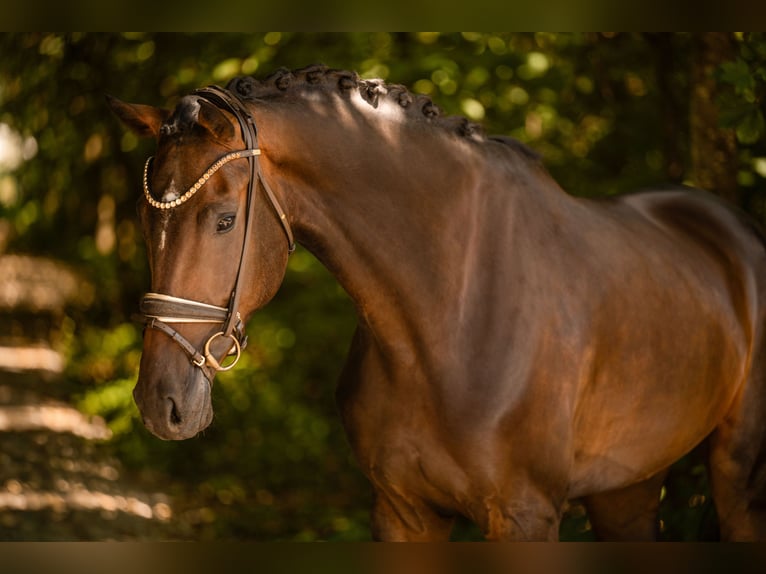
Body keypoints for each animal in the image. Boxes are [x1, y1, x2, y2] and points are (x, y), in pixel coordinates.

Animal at [108, 64, 766, 541]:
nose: (159, 402)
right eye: (143, 216)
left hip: (738, 477)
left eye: (223, 220)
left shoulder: (526, 517)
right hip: (626, 488)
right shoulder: (403, 511)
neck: (447, 316)